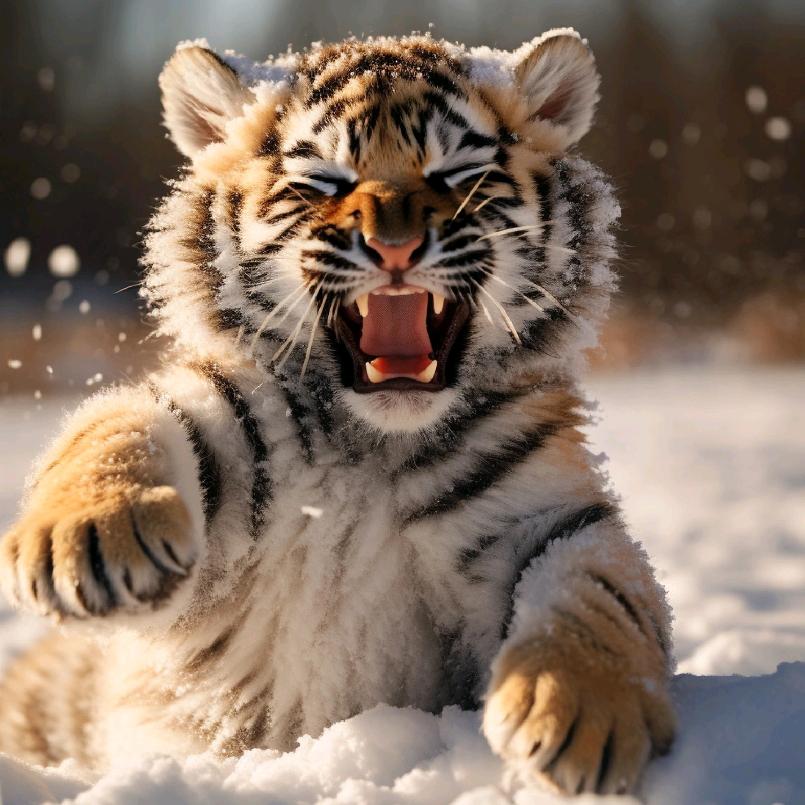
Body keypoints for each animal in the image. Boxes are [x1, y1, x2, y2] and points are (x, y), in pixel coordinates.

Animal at [0, 30, 675, 796]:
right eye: (323, 180)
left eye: (455, 172)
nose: (394, 247)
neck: (376, 443)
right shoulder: (223, 418)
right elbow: (114, 425)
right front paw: (87, 538)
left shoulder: (540, 511)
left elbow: (596, 591)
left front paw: (582, 718)